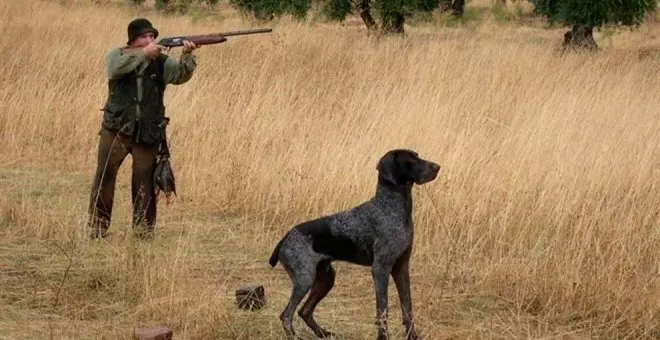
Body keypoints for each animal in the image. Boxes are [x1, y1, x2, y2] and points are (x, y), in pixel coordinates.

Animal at [266, 149, 440, 340]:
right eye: (410, 160)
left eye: (417, 155)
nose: (437, 167)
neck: (393, 207)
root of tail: (286, 237)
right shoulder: (381, 269)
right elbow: (382, 309)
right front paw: (383, 336)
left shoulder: (401, 268)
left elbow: (407, 307)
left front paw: (413, 336)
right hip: (304, 279)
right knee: (287, 315)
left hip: (325, 279)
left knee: (304, 311)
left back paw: (322, 333)